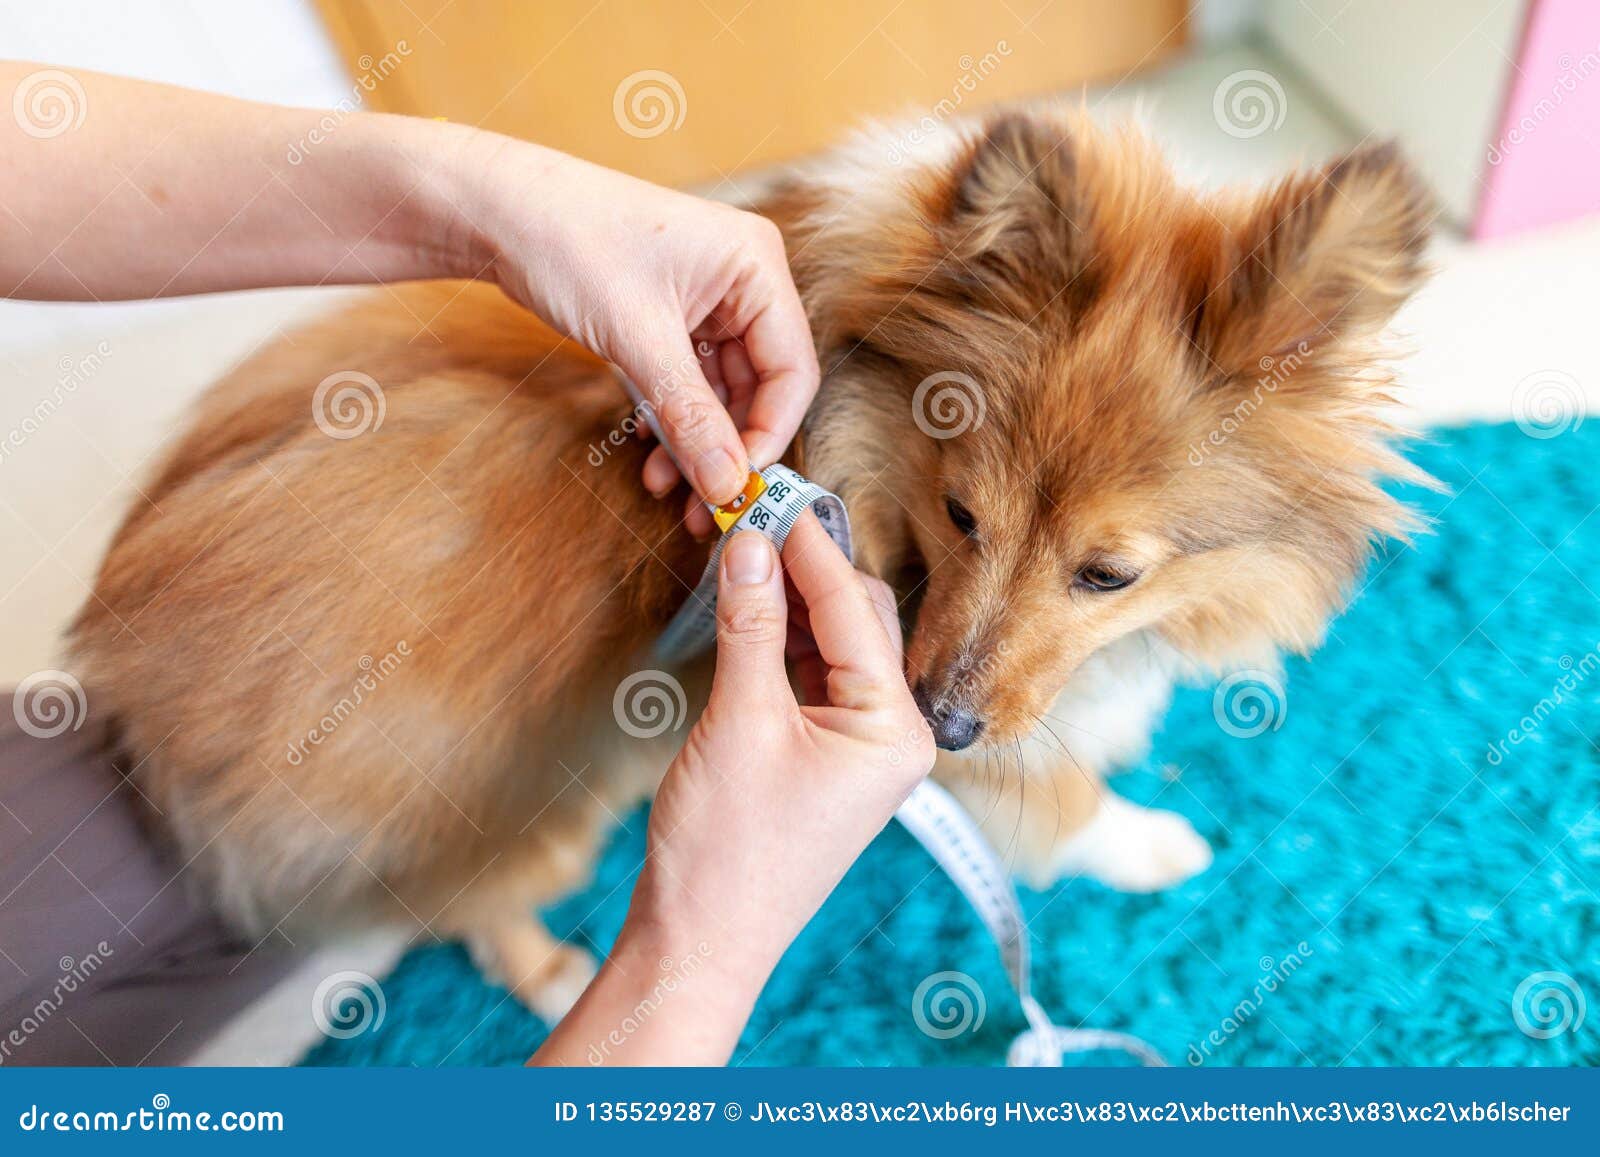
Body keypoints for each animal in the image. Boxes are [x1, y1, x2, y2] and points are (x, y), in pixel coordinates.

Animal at [68, 106, 1433, 1011]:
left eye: (1107, 573)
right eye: (962, 515)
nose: (935, 722)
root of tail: (119, 639)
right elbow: (1060, 803)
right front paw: (1155, 843)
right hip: (544, 797)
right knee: (467, 904)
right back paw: (555, 975)